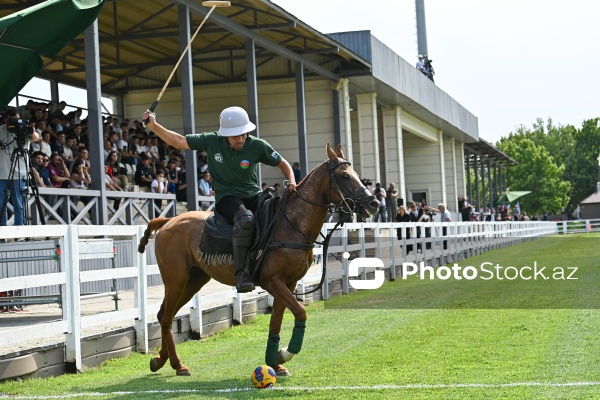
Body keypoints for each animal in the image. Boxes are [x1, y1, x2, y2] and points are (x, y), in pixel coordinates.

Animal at [138, 144, 378, 376]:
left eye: (356, 175)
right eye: (345, 176)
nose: (374, 203)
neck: (292, 224)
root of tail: (168, 221)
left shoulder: (288, 282)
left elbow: (276, 322)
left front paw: (275, 362)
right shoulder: (271, 280)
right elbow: (300, 312)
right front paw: (285, 354)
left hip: (195, 279)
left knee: (164, 314)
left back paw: (160, 360)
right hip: (176, 279)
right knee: (166, 316)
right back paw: (178, 365)